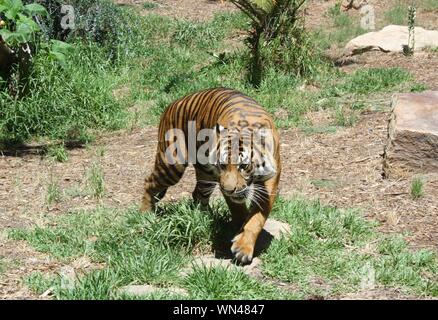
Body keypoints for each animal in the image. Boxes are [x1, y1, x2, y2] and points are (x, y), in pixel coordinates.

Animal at [142, 87, 282, 262]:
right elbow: (238, 209)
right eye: (222, 165)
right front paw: (240, 231)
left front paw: (243, 245)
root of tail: (173, 103)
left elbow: (256, 218)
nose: (229, 189)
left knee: (197, 194)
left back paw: (204, 217)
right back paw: (145, 216)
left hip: (205, 174)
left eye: (243, 166)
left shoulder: (270, 181)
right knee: (149, 182)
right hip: (173, 164)